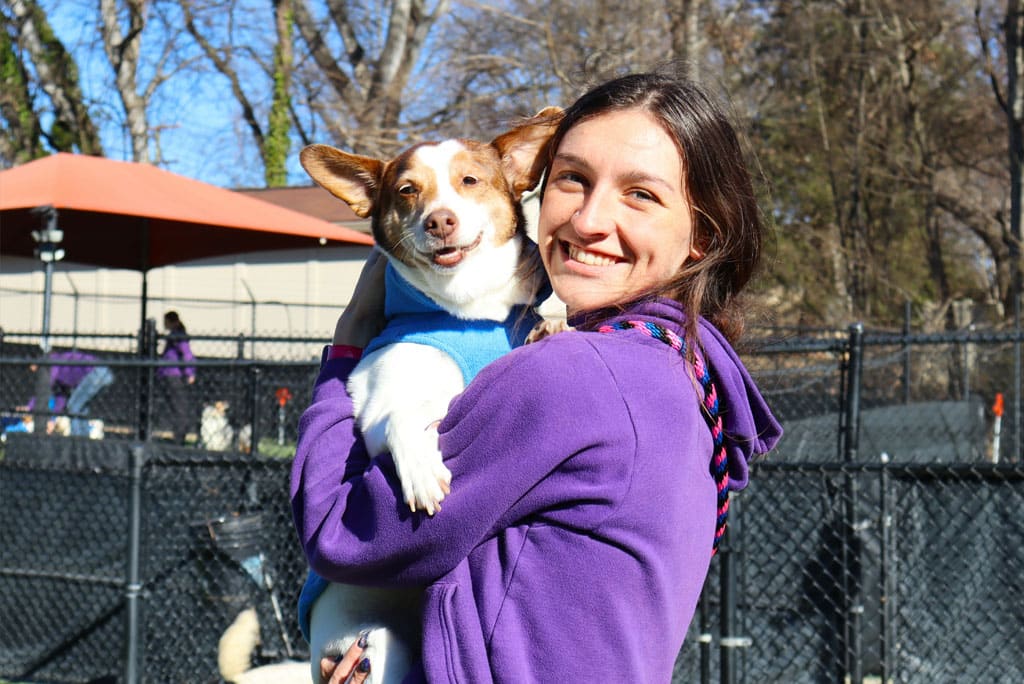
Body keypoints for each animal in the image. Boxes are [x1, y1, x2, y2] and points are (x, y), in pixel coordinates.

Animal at [299, 109, 561, 679]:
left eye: (470, 181)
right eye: (406, 191)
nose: (440, 220)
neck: (464, 311)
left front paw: (552, 324)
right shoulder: (374, 408)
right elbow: (402, 415)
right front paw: (421, 471)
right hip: (376, 648)